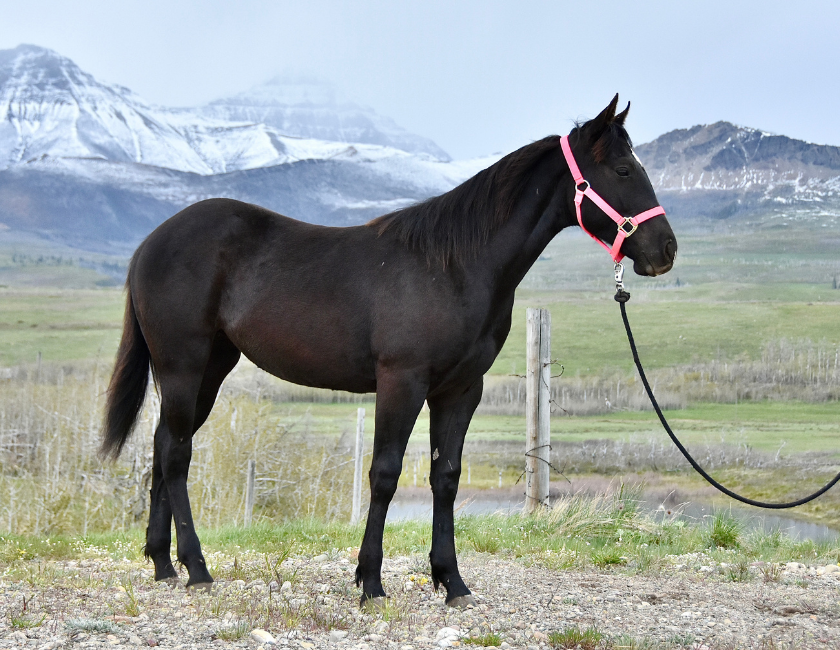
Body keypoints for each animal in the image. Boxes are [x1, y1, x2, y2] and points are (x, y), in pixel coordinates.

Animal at [100, 94, 676, 608]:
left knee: (162, 445)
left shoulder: (460, 390)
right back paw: (196, 569)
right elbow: (384, 474)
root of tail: (150, 244)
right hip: (183, 365)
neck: (456, 267)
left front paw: (451, 582)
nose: (666, 250)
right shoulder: (402, 382)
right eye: (623, 169)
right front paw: (370, 582)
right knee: (176, 456)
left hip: (210, 371)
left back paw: (162, 563)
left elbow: (446, 477)